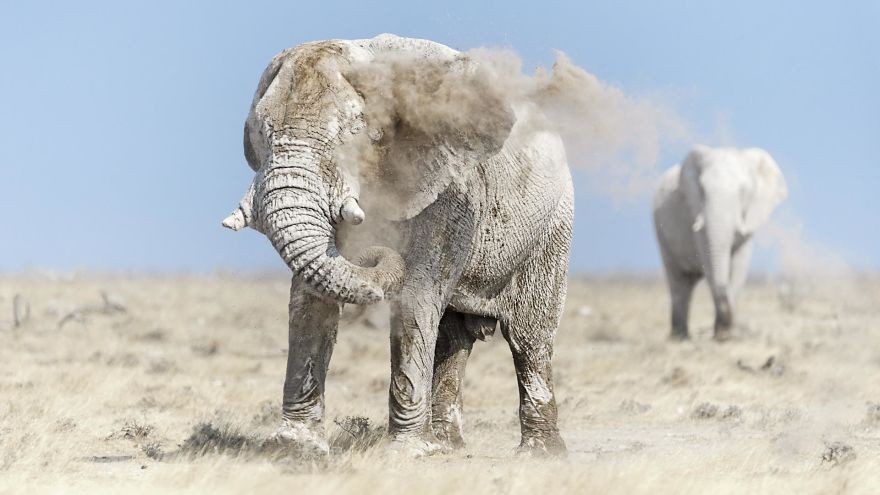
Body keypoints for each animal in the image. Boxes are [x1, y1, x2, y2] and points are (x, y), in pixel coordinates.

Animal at [223, 35, 576, 458]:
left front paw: (406, 453)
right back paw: (447, 446)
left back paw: (540, 453)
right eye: (258, 133)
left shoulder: (449, 193)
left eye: (352, 132)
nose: (373, 250)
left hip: (554, 223)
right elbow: (309, 301)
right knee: (453, 337)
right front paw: (294, 448)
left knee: (529, 336)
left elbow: (415, 297)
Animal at [648, 145, 788, 342]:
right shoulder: (697, 217)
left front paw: (725, 336)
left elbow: (739, 265)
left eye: (743, 192)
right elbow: (709, 263)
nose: (724, 331)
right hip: (661, 233)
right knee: (678, 280)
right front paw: (722, 335)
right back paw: (679, 338)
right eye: (702, 191)